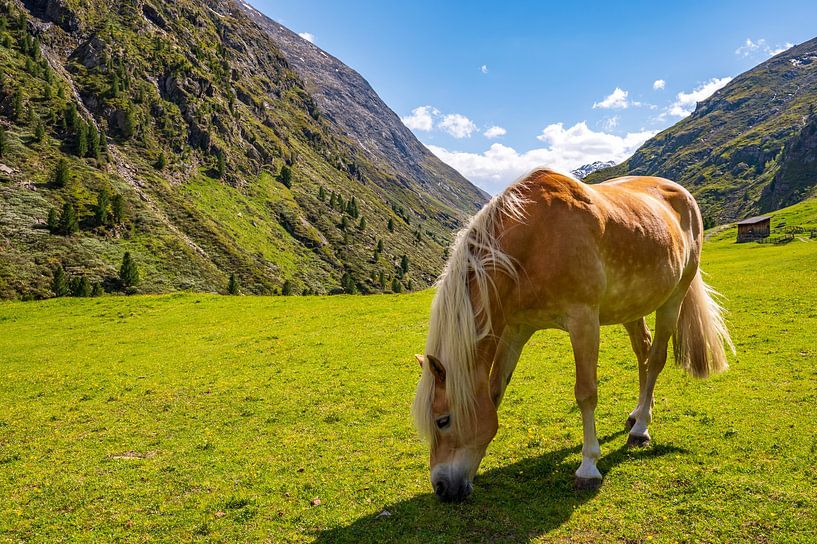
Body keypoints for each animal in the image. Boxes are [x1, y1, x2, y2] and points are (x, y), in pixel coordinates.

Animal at [413, 167, 734, 502]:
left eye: (442, 420)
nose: (442, 488)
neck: (533, 241)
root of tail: (684, 196)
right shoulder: (515, 330)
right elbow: (495, 390)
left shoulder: (584, 322)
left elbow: (586, 393)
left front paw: (588, 467)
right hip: (632, 305)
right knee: (643, 352)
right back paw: (636, 414)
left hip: (673, 298)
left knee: (656, 358)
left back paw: (641, 428)